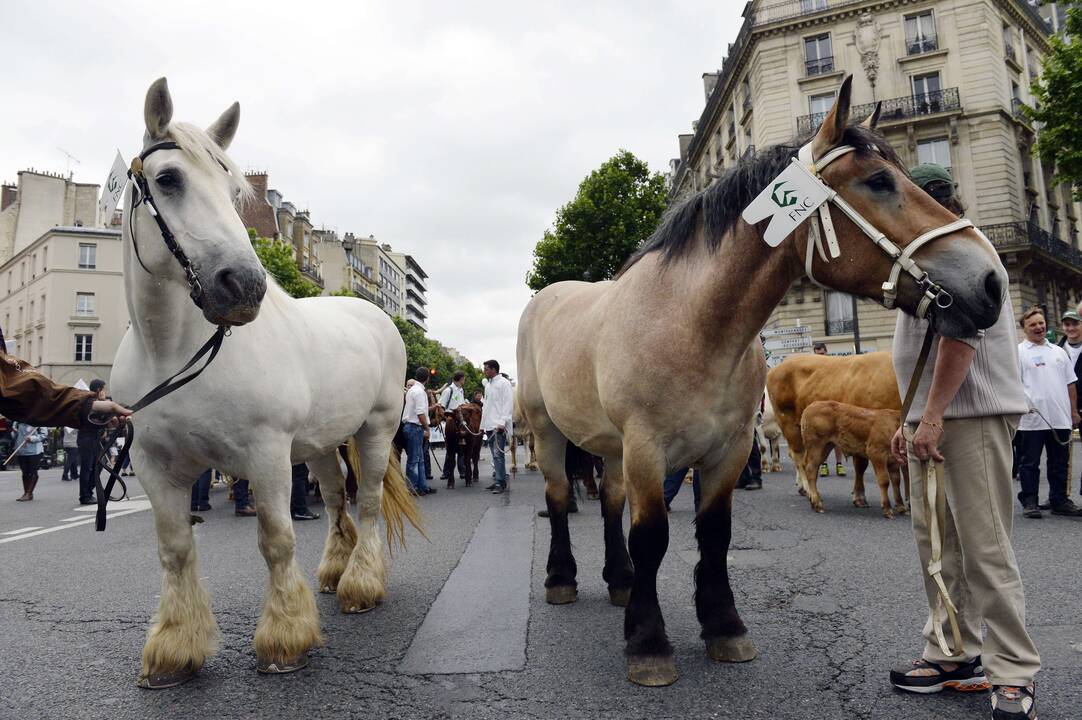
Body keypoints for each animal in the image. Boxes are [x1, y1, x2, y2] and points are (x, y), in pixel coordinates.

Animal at [108, 77, 413, 684]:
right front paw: (174, 648)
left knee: (366, 502)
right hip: (318, 446)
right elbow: (175, 548)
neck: (171, 353)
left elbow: (276, 539)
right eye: (168, 179)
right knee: (336, 498)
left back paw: (361, 584)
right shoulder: (155, 466)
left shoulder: (267, 454)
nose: (244, 286)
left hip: (374, 431)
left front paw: (285, 638)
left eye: (233, 192)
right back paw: (334, 571)